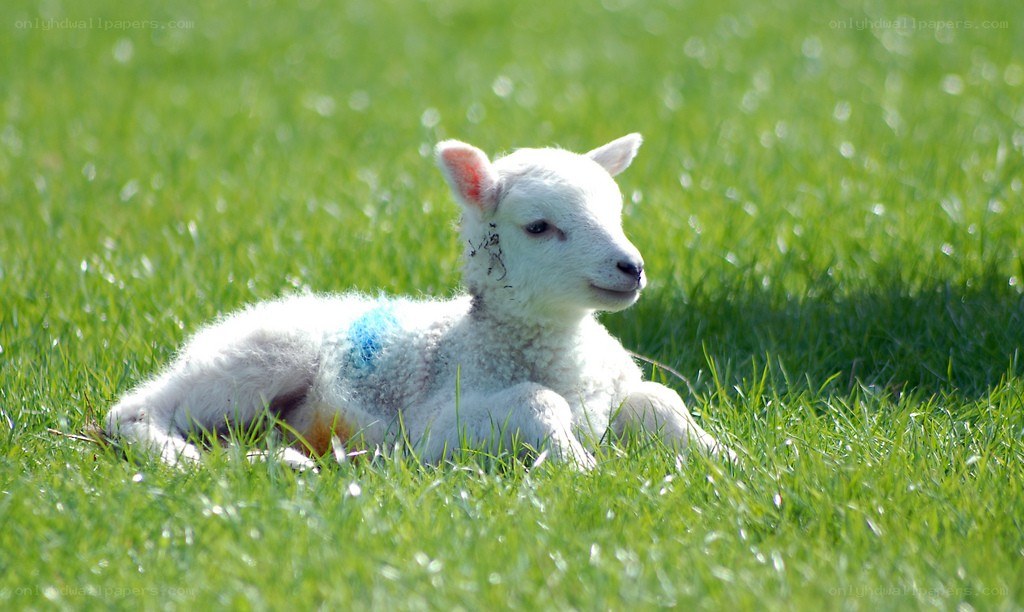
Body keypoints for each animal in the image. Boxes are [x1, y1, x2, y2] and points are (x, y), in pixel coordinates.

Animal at [104, 134, 734, 470]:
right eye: (538, 226)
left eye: (618, 212)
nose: (632, 268)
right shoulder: (432, 433)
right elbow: (538, 400)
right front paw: (579, 464)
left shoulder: (616, 389)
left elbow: (661, 400)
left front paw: (724, 457)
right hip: (259, 358)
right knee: (135, 412)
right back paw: (194, 461)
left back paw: (279, 461)